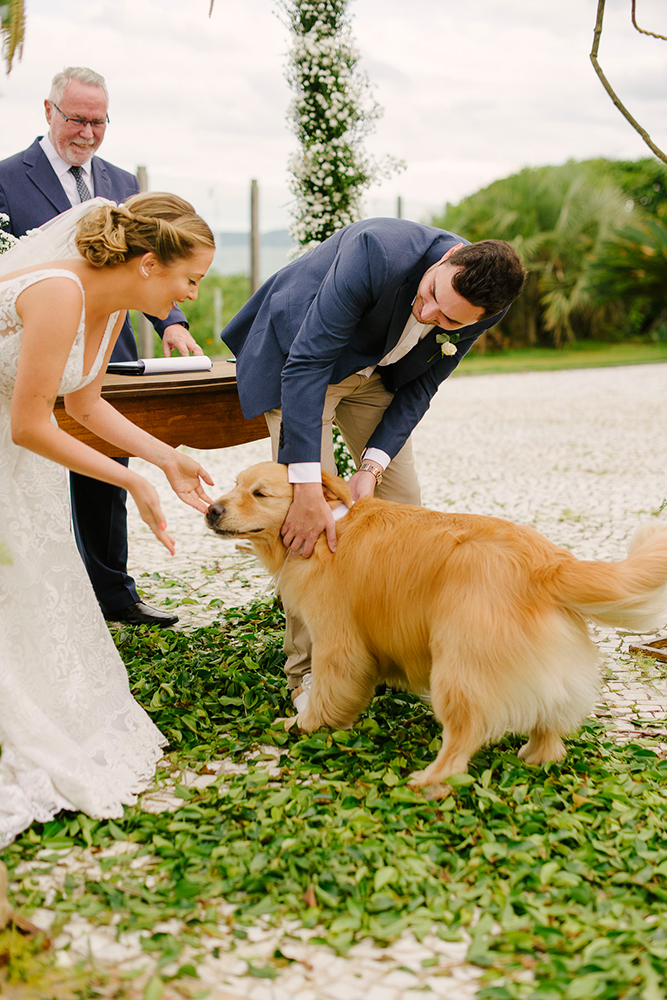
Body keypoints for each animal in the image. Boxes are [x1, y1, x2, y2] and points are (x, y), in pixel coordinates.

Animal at [205, 464, 667, 792]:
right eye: (234, 484)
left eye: (259, 493)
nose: (212, 509)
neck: (325, 526)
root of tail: (547, 562)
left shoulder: (338, 641)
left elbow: (327, 689)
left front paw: (305, 725)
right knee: (550, 717)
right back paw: (536, 756)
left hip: (458, 667)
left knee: (464, 737)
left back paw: (430, 781)